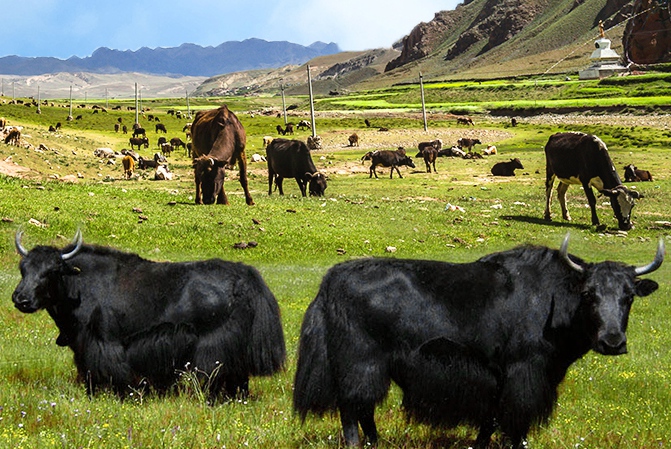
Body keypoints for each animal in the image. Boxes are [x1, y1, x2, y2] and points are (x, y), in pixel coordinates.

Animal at [13, 231, 286, 400]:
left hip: (216, 344)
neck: (78, 284)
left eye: (51, 272)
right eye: (23, 268)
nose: (21, 299)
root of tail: (247, 277)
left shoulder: (103, 341)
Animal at [292, 236, 660, 446]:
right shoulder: (524, 372)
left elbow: (492, 418)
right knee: (351, 407)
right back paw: (360, 444)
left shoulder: (497, 378)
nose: (612, 342)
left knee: (364, 408)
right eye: (589, 295)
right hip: (360, 362)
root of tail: (330, 281)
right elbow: (515, 418)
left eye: (629, 296)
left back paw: (375, 442)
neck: (555, 300)